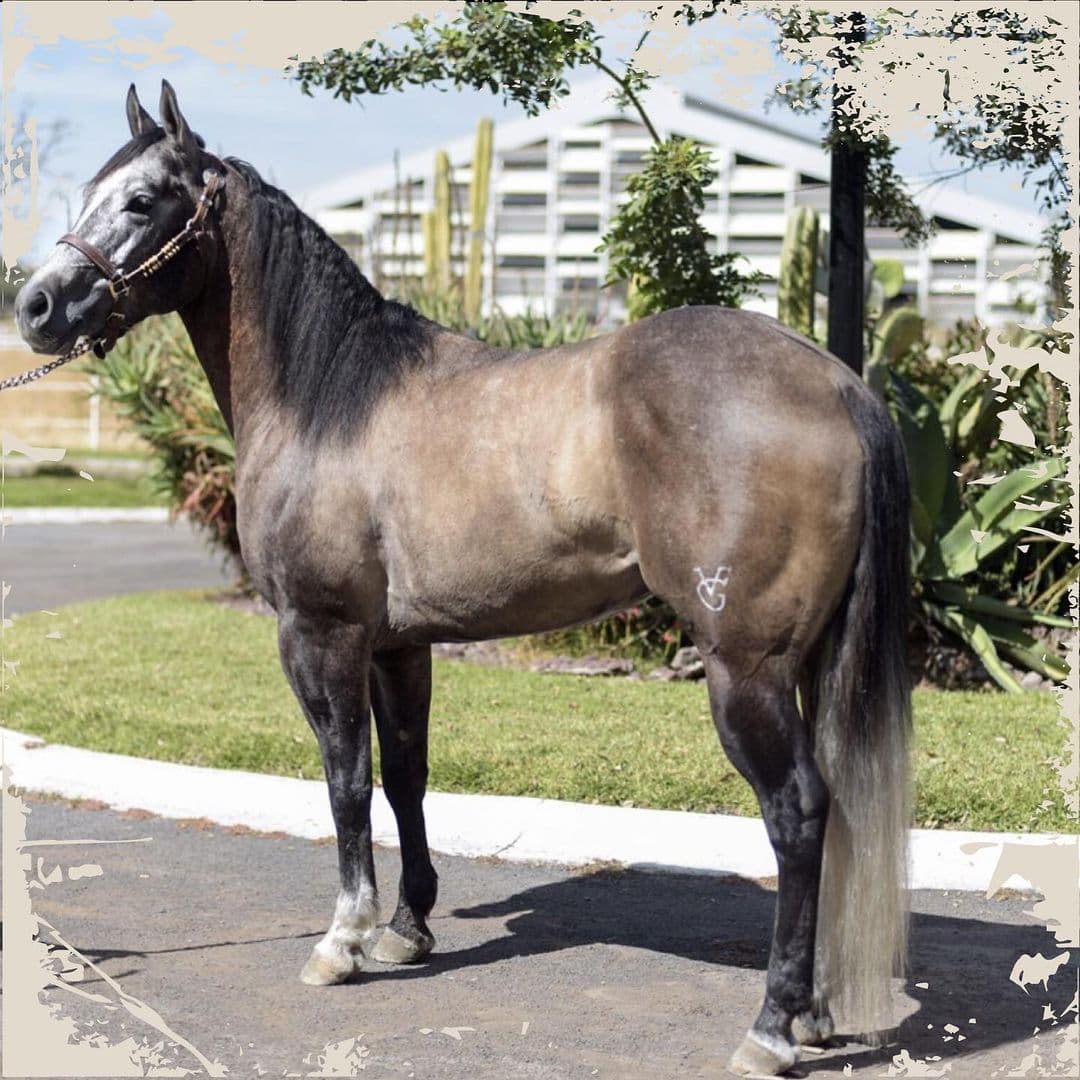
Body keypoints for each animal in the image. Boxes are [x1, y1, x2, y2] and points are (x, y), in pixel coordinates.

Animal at [15, 82, 912, 1077]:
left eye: (142, 201)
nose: (37, 305)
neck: (330, 398)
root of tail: (840, 385)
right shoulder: (398, 646)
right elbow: (405, 776)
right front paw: (407, 928)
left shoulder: (319, 634)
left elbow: (345, 781)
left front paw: (343, 941)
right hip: (806, 663)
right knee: (835, 813)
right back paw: (816, 1013)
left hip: (743, 671)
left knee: (798, 814)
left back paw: (772, 1026)